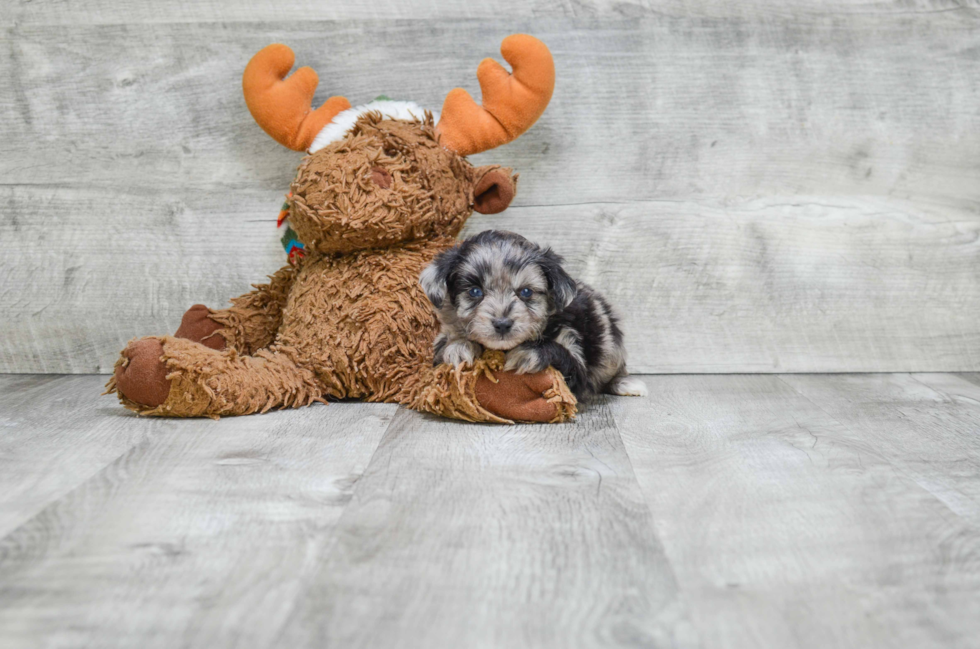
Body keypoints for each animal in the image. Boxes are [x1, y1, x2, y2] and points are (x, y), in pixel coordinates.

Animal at [418, 228, 648, 400]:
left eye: (526, 292)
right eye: (475, 291)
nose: (502, 324)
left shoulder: (575, 356)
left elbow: (564, 357)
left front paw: (530, 353)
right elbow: (447, 345)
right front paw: (459, 346)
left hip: (612, 349)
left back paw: (626, 384)